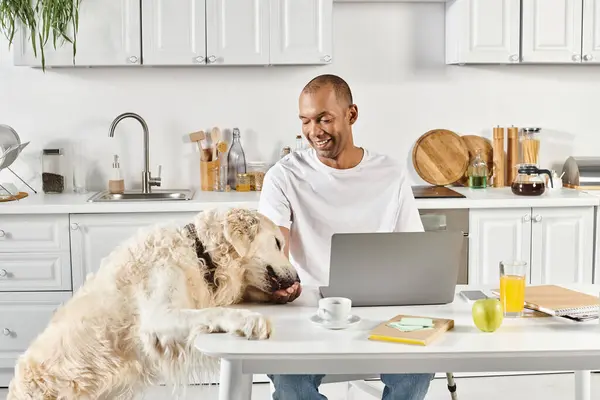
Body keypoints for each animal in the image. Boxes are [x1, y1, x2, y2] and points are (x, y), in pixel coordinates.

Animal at [8, 208, 298, 398]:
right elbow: (211, 312)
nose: (297, 279)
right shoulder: (160, 318)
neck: (199, 253)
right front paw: (249, 319)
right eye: (278, 242)